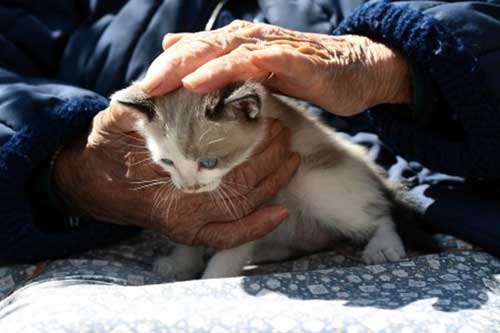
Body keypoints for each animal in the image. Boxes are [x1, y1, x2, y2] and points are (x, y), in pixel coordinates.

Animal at [110, 82, 434, 278]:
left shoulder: (258, 198)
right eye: (167, 162)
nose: (190, 187)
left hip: (314, 182)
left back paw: (383, 246)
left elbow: (230, 253)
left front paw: (211, 279)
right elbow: (191, 235)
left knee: (381, 213)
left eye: (209, 163)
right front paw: (181, 264)